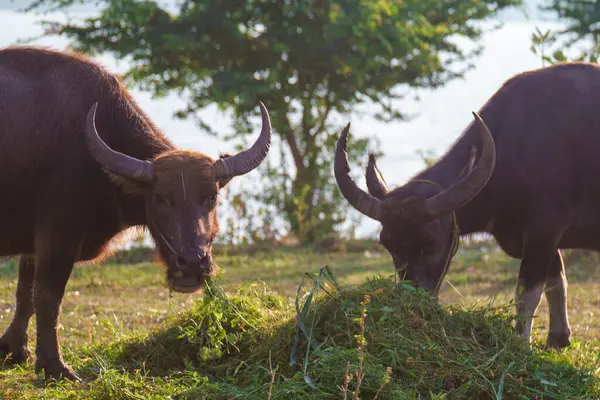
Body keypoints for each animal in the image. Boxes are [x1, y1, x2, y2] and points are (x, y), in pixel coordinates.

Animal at [0, 45, 272, 380]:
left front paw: (14, 350)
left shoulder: (33, 246)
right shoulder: (57, 238)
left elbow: (24, 294)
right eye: (160, 198)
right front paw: (55, 366)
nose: (192, 264)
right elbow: (48, 299)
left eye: (211, 197)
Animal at [332, 60, 600, 350]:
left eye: (431, 242)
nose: (414, 301)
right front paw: (558, 339)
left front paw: (519, 344)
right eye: (387, 244)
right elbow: (556, 283)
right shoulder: (538, 237)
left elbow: (526, 293)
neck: (514, 148)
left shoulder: (545, 229)